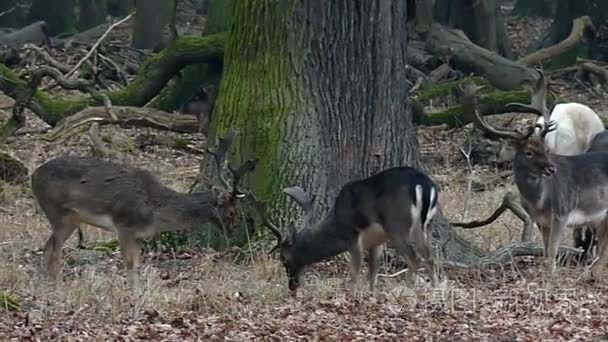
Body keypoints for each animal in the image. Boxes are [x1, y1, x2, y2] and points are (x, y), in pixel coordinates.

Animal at [32, 128, 255, 286]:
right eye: (232, 212)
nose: (231, 233)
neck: (155, 213)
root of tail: (33, 175)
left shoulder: (139, 236)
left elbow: (136, 265)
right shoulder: (124, 225)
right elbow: (129, 264)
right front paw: (132, 295)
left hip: (68, 217)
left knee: (48, 248)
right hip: (59, 212)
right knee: (52, 250)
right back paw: (57, 285)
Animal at [254, 166, 440, 294]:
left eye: (283, 258)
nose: (292, 286)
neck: (337, 226)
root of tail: (425, 187)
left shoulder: (353, 237)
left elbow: (355, 273)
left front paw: (353, 295)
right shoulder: (377, 241)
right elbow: (373, 271)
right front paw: (370, 294)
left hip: (397, 225)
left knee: (414, 258)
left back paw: (406, 290)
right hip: (426, 225)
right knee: (430, 257)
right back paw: (435, 289)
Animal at [460, 81, 608, 280]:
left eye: (545, 149)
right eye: (528, 152)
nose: (551, 169)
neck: (539, 201)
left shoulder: (562, 212)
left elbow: (553, 249)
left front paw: (552, 277)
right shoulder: (539, 220)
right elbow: (546, 249)